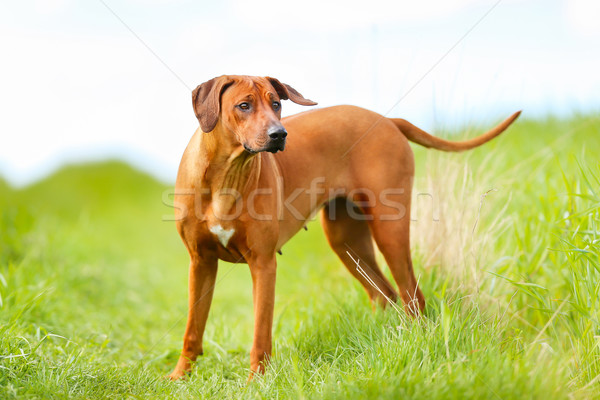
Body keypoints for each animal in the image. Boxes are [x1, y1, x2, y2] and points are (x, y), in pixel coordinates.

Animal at [169, 76, 520, 382]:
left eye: (276, 103)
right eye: (244, 105)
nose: (279, 134)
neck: (226, 175)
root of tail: (389, 120)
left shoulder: (263, 264)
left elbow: (260, 332)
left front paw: (256, 381)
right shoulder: (200, 262)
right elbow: (192, 329)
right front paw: (179, 378)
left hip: (389, 230)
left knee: (412, 296)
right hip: (347, 243)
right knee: (385, 294)